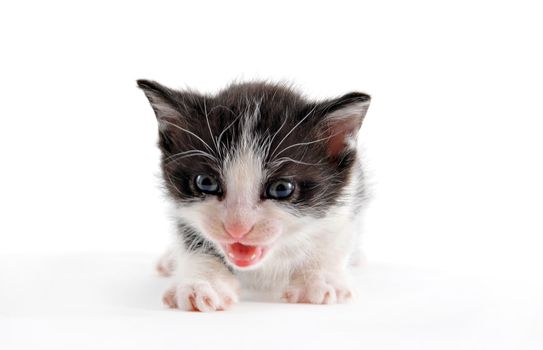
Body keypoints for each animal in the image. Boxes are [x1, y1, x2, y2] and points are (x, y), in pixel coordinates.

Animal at [138, 80, 372, 312]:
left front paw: (317, 279)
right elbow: (193, 240)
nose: (237, 228)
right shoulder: (184, 215)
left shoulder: (350, 195)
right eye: (205, 183)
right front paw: (202, 282)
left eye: (281, 188)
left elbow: (334, 237)